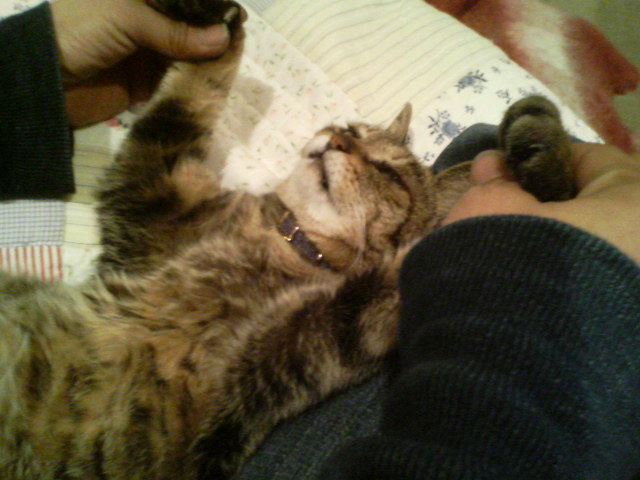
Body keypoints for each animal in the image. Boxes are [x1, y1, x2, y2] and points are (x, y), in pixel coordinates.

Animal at [0, 1, 575, 479]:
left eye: (387, 171)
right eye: (350, 129)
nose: (336, 138)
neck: (283, 237)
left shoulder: (291, 352)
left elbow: (416, 266)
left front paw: (546, 154)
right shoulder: (150, 190)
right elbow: (189, 93)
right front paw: (212, 21)